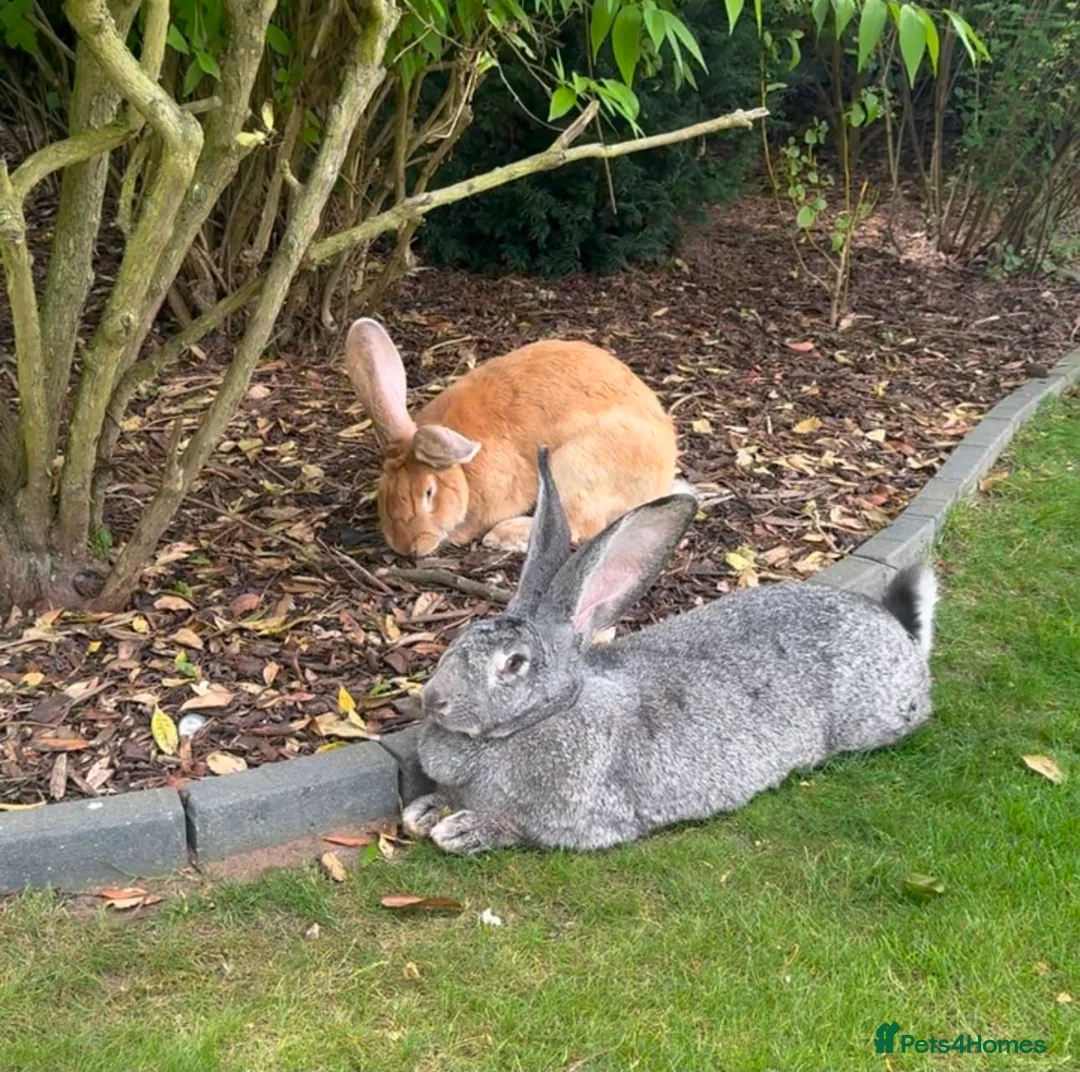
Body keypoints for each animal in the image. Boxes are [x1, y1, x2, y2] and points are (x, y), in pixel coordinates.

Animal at [342, 318, 679, 556]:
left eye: (428, 492)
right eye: (384, 491)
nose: (407, 548)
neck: (461, 473)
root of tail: (663, 473)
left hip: (576, 464)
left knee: (575, 526)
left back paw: (501, 536)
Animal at [402, 447, 938, 855]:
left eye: (514, 664)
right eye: (460, 637)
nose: (433, 700)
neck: (549, 711)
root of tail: (900, 635)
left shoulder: (577, 818)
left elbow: (515, 827)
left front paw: (459, 829)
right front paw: (422, 812)